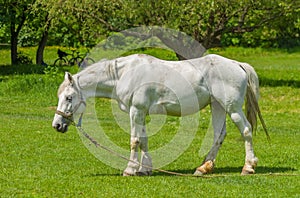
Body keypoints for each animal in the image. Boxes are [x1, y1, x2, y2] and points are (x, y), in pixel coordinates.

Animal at [51, 53, 268, 176]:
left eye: (69, 97)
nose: (57, 125)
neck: (124, 74)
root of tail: (236, 64)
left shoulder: (136, 110)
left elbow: (135, 140)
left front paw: (130, 170)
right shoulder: (140, 112)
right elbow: (144, 140)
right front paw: (144, 169)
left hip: (232, 108)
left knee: (246, 130)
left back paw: (248, 167)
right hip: (217, 106)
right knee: (218, 135)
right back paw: (203, 168)